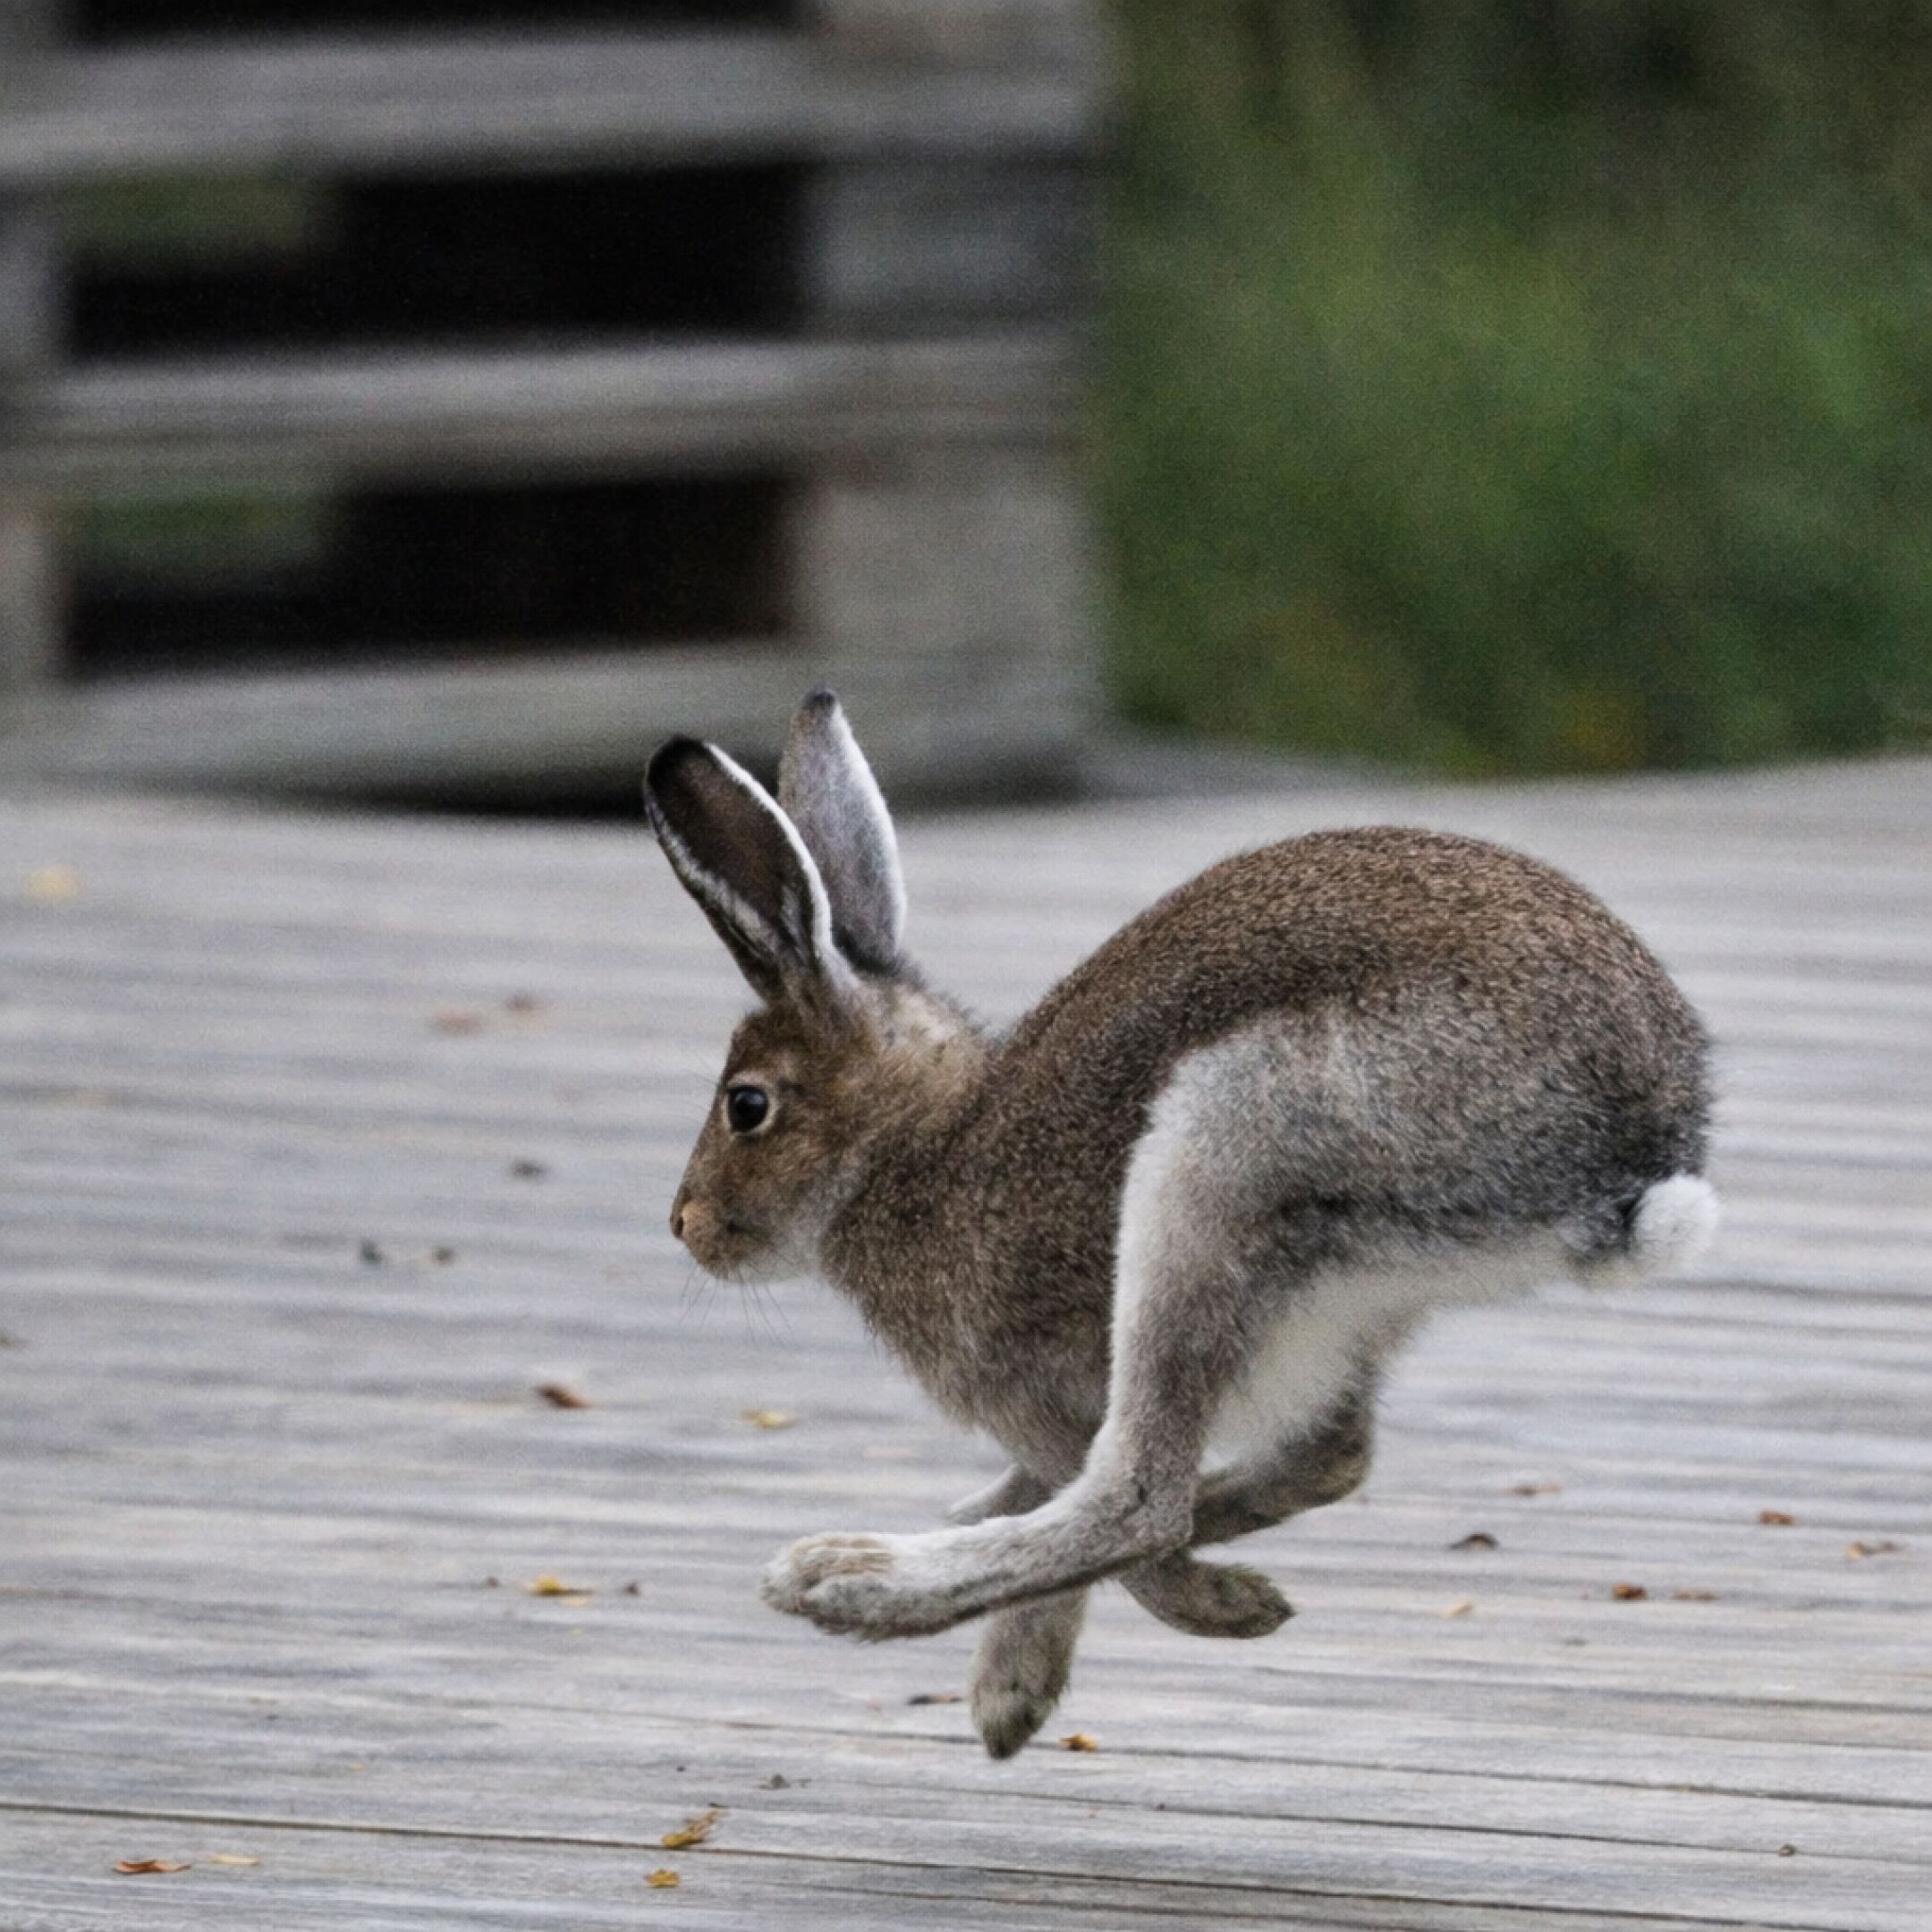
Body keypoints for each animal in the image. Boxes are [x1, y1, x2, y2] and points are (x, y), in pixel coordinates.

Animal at [644, 690, 1716, 1757]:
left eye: (748, 1106)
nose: (686, 1223)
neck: (917, 1143)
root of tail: (1635, 1144)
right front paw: (1016, 1685)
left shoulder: (1035, 1395)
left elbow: (1097, 1507)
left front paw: (1032, 1671)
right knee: (1321, 1457)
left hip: (1219, 1157)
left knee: (1141, 1504)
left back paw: (844, 1580)